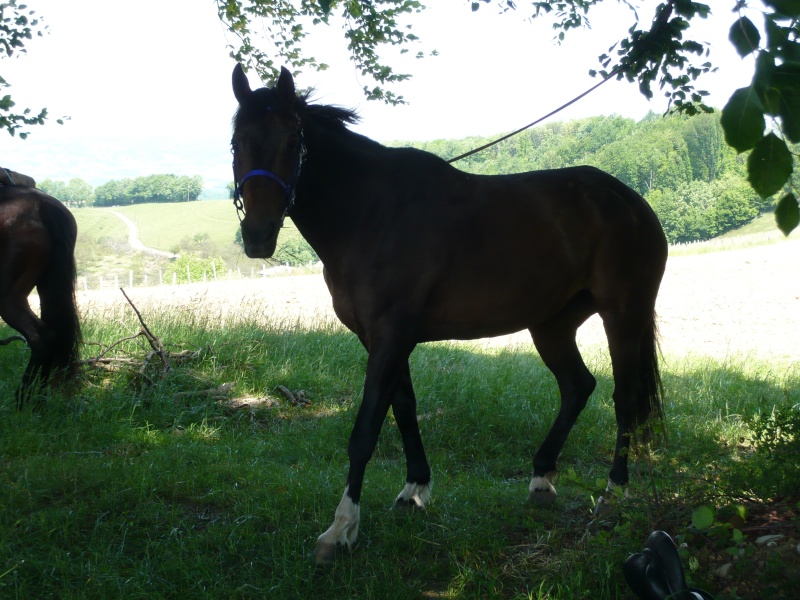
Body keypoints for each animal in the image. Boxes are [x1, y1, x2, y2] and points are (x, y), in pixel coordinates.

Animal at [0, 184, 82, 408]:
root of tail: (40, 203)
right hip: (47, 286)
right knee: (52, 334)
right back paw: (39, 399)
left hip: (9, 298)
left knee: (40, 339)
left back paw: (23, 400)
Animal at [230, 64, 668, 564]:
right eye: (237, 142)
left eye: (291, 142)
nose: (258, 235)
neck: (370, 213)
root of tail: (629, 200)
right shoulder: (383, 338)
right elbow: (403, 408)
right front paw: (414, 489)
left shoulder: (389, 336)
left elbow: (365, 429)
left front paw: (341, 528)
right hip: (552, 326)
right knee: (578, 387)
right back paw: (541, 478)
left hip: (623, 316)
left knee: (624, 398)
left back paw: (615, 491)